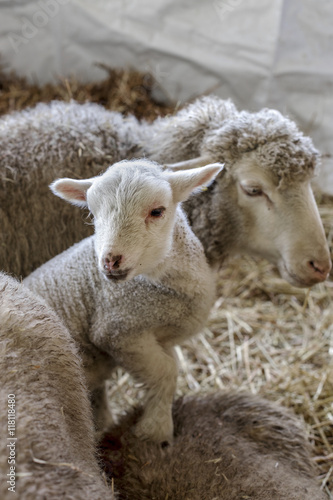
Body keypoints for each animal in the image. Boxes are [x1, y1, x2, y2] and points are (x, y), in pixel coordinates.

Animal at [24, 158, 223, 444]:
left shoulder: (158, 338)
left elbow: (169, 364)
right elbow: (166, 372)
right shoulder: (118, 330)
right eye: (93, 214)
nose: (110, 260)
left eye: (157, 211)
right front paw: (154, 430)